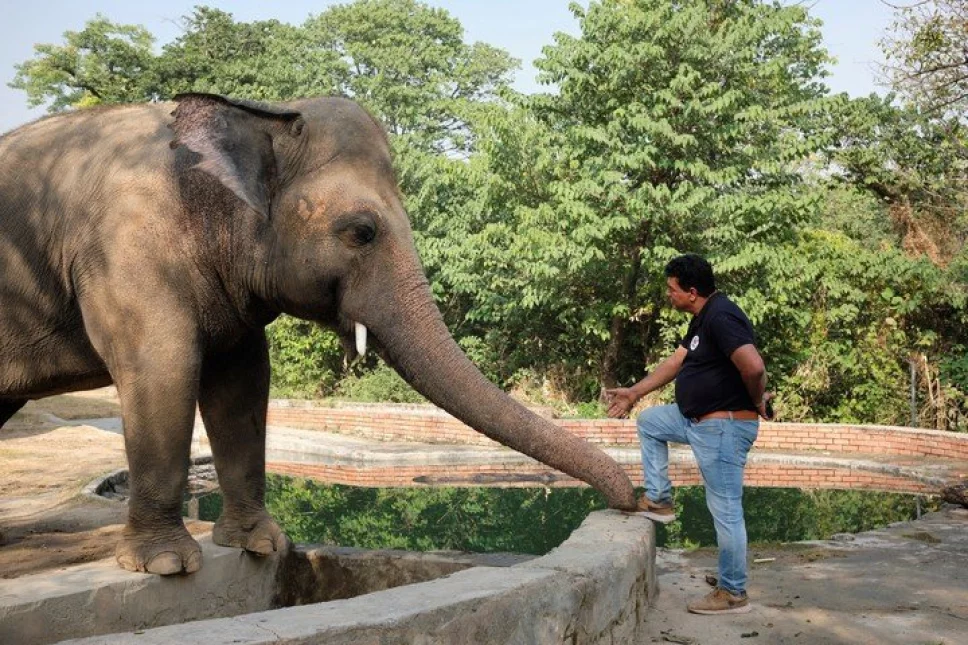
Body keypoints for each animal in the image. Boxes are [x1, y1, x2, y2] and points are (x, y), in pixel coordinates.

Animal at [0, 94, 637, 575]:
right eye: (361, 232)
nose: (636, 502)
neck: (255, 115)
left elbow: (244, 379)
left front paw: (263, 546)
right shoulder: (125, 250)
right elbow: (164, 366)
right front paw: (166, 566)